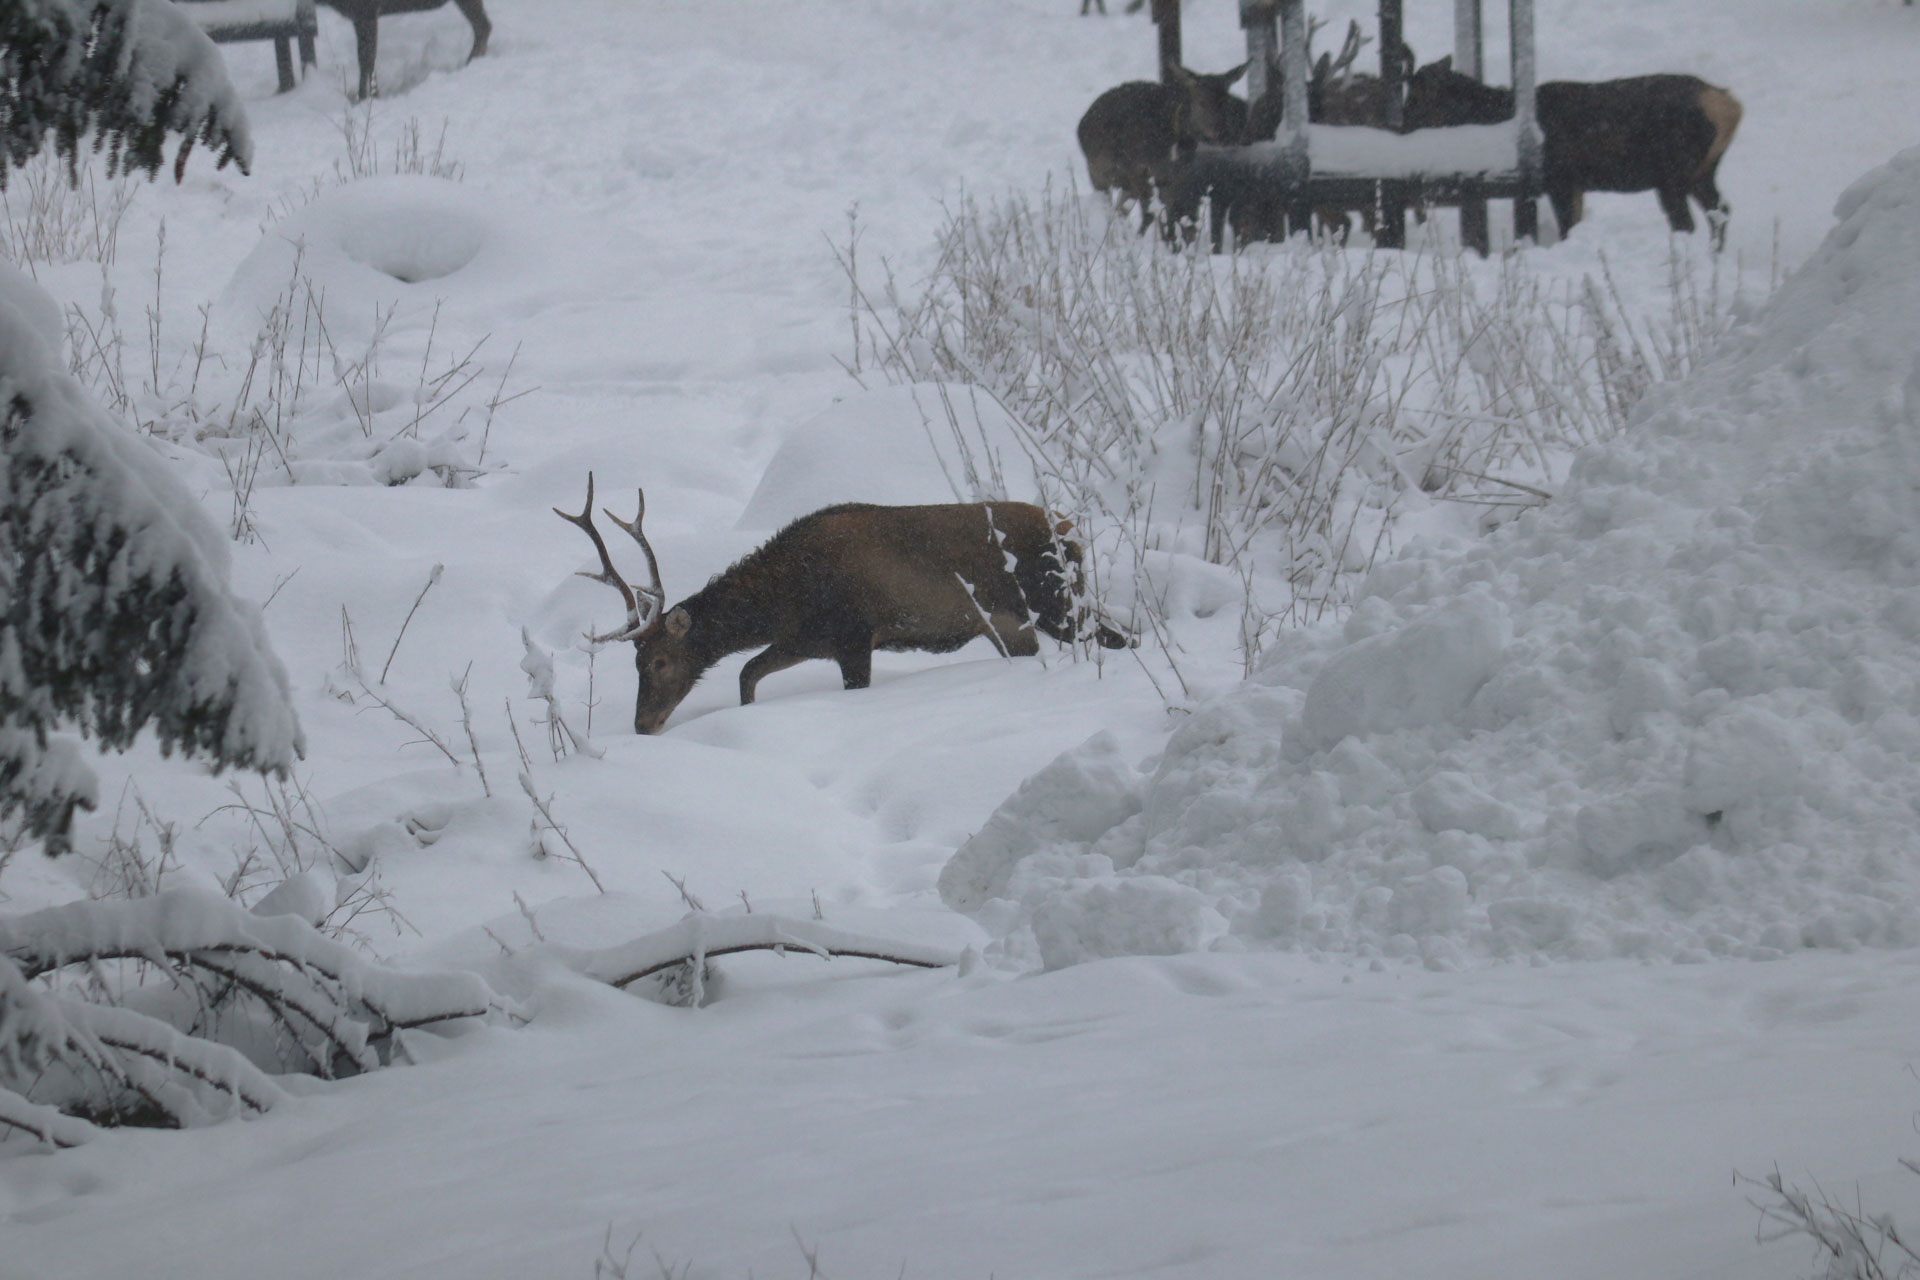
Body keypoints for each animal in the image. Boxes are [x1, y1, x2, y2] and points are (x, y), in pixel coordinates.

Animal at [318, 0, 491, 101]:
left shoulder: (367, 11)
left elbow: (366, 58)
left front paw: (365, 98)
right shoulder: (361, 15)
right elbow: (368, 58)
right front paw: (372, 95)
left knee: (483, 26)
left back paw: (470, 63)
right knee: (484, 26)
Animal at [1075, 62, 1251, 234]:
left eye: (1226, 101)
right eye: (1201, 101)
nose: (1222, 133)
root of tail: (1081, 124)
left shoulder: (1173, 180)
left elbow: (1171, 217)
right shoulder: (1137, 170)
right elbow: (1152, 215)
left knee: (1120, 209)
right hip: (1098, 171)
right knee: (1109, 205)